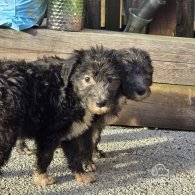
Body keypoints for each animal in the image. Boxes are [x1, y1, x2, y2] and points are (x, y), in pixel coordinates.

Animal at [0, 46, 122, 185]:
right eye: (87, 78)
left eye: (110, 79)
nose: (101, 103)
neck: (68, 92)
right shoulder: (50, 132)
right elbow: (46, 155)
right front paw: (41, 176)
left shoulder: (71, 131)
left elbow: (74, 154)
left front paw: (81, 174)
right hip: (6, 132)